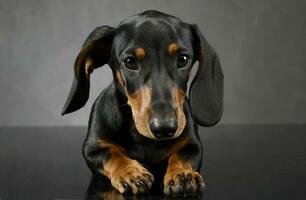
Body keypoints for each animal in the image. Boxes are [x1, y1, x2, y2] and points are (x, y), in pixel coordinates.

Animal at [61, 10, 222, 196]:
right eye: (130, 62)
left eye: (183, 59)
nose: (164, 128)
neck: (143, 139)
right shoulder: (92, 148)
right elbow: (111, 155)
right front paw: (130, 172)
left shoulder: (193, 144)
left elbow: (182, 155)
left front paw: (182, 174)